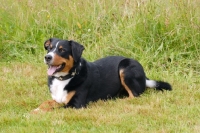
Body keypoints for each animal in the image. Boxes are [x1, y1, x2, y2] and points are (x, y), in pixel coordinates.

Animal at [32, 37, 172, 112]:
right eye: (49, 48)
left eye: (62, 50)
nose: (47, 57)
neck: (64, 78)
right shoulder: (58, 98)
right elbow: (47, 103)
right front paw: (36, 109)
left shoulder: (76, 105)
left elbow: (56, 108)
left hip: (125, 67)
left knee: (134, 95)